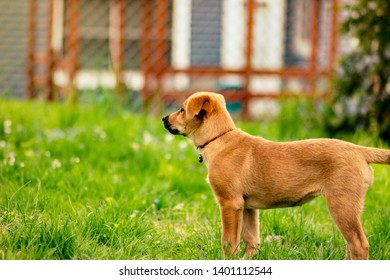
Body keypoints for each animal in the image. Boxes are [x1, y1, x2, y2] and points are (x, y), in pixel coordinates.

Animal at [162, 92, 390, 260]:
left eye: (182, 109)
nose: (164, 119)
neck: (219, 138)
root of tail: (359, 150)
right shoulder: (247, 207)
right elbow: (251, 240)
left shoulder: (230, 203)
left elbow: (229, 241)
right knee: (351, 246)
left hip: (342, 204)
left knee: (359, 245)